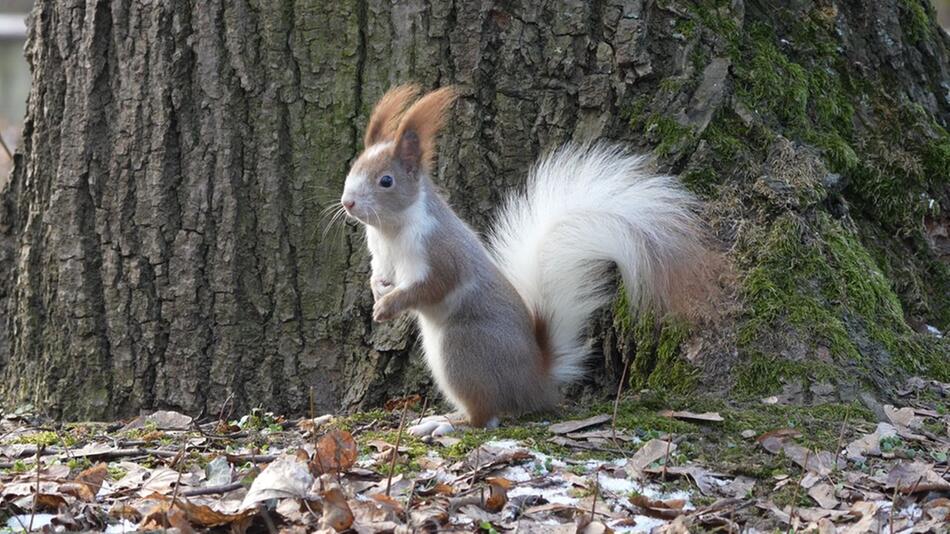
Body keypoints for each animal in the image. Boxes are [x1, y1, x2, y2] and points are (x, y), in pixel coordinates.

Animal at [340, 84, 712, 436]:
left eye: (386, 181)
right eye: (353, 168)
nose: (348, 203)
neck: (391, 230)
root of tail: (536, 381)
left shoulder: (441, 254)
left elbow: (431, 287)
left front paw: (388, 306)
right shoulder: (381, 256)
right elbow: (380, 276)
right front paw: (378, 292)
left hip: (462, 349)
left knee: (485, 418)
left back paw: (443, 424)